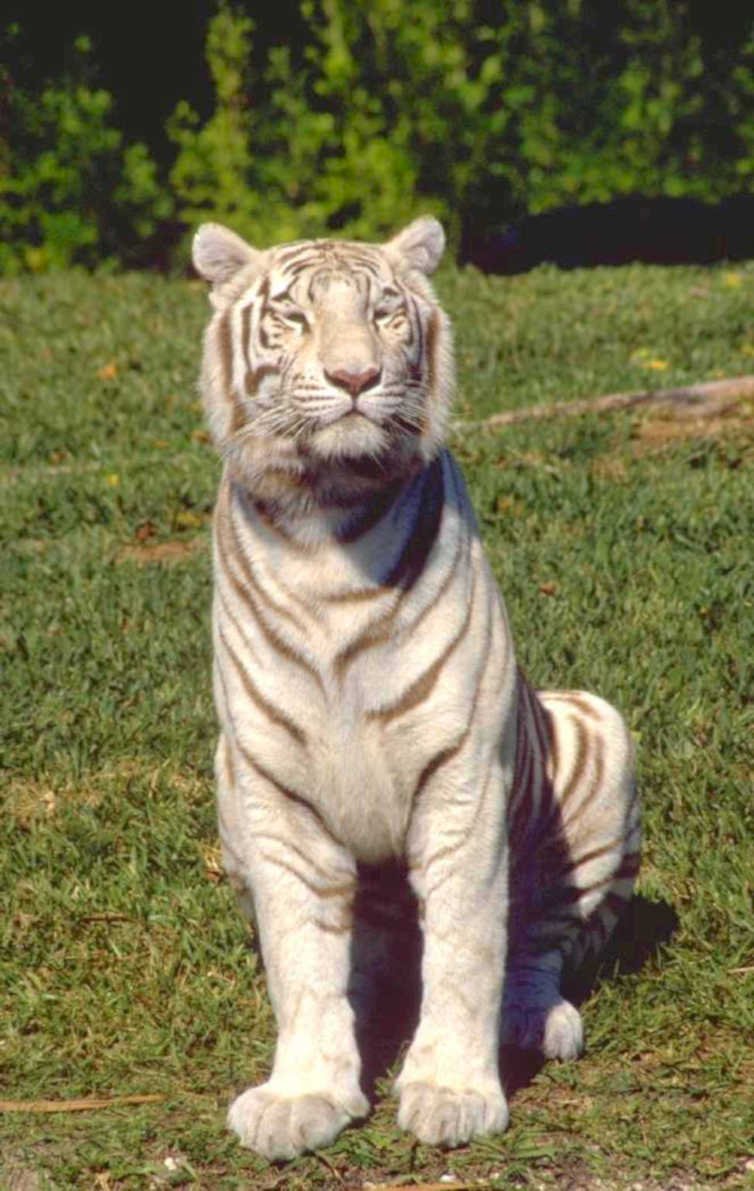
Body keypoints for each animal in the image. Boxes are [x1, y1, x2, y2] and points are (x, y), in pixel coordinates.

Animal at [191, 216, 640, 1161]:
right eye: (293, 317)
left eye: (385, 314)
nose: (356, 377)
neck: (326, 520)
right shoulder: (272, 785)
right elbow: (301, 954)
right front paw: (303, 1093)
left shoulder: (461, 771)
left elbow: (466, 945)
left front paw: (452, 1091)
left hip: (600, 738)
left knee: (536, 941)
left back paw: (529, 1020)